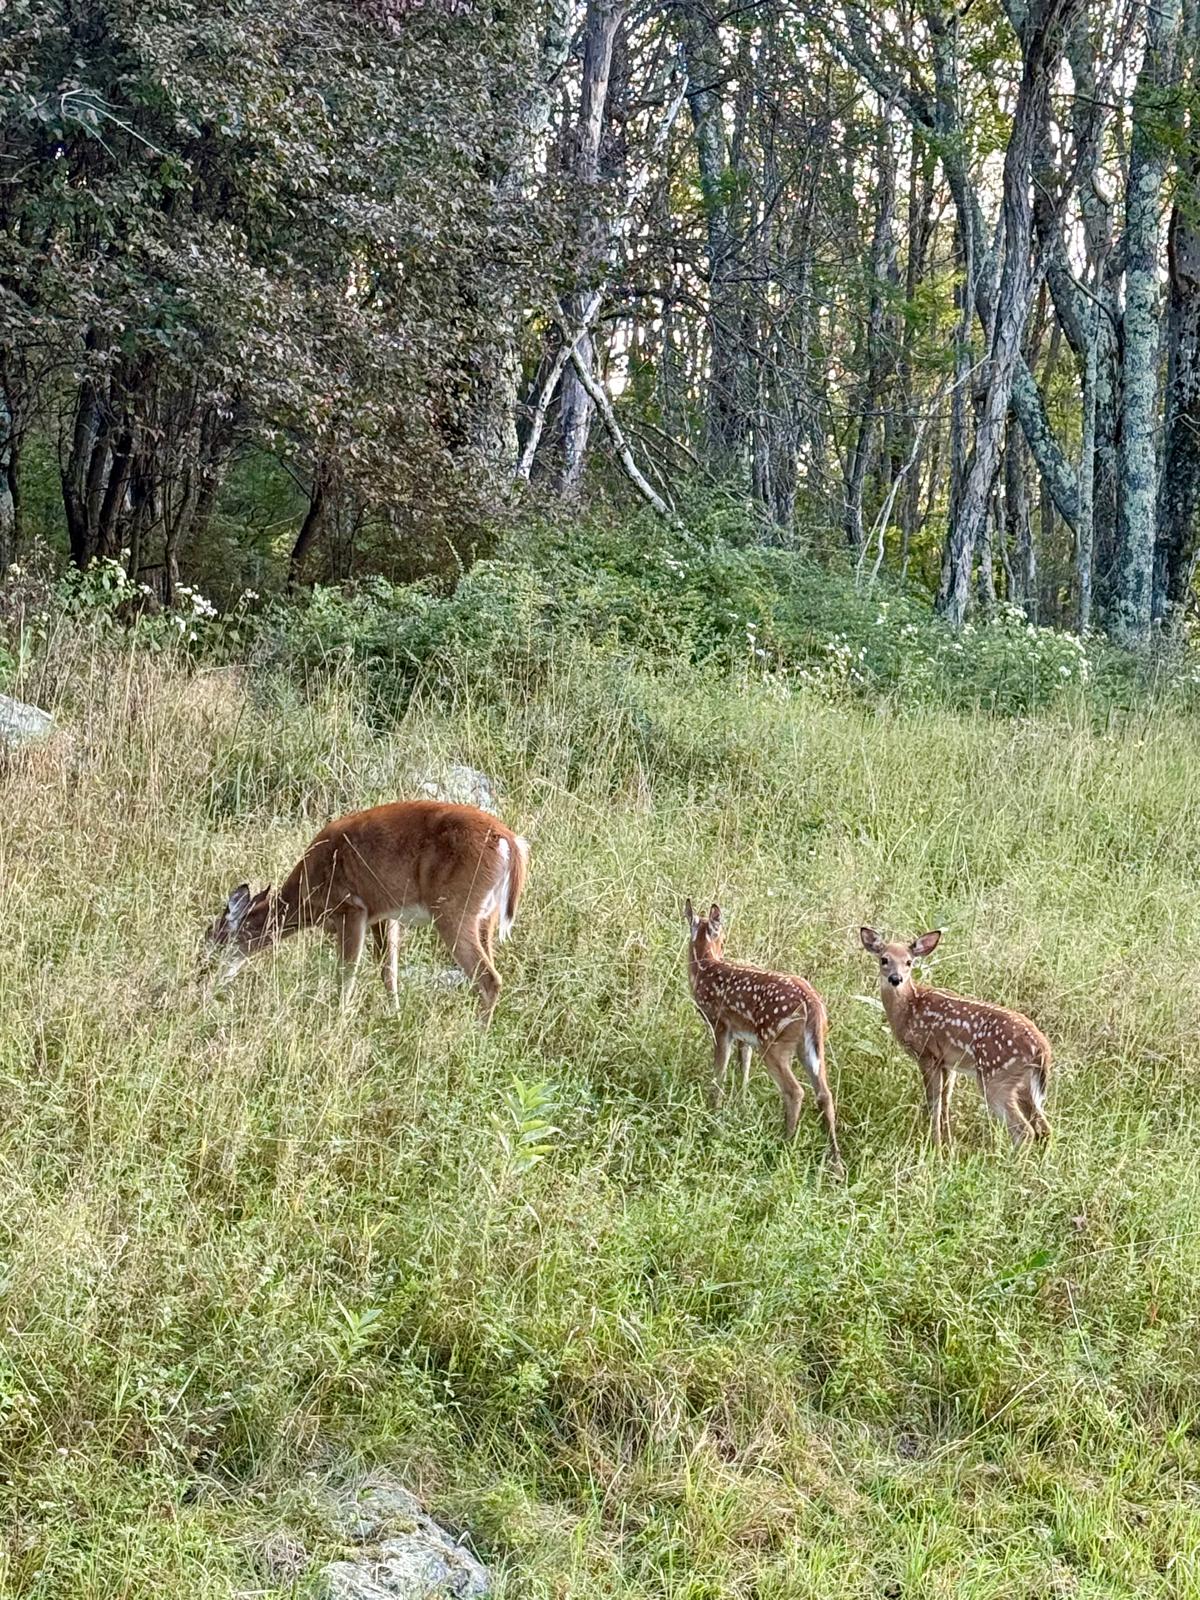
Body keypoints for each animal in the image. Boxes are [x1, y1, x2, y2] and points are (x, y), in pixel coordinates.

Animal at [206, 801, 529, 1023]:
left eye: (212, 939)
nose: (202, 979)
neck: (306, 896)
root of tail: (509, 841)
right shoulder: (385, 914)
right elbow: (389, 970)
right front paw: (394, 1015)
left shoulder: (351, 907)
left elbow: (347, 970)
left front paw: (339, 1017)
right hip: (485, 916)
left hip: (453, 908)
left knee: (489, 978)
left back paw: (477, 1035)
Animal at [684, 900, 842, 1170]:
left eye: (723, 938)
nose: (724, 946)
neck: (705, 966)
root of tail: (812, 1003)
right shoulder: (744, 1037)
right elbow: (744, 1071)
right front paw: (740, 1107)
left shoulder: (720, 1025)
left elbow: (719, 1073)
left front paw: (713, 1111)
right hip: (809, 1046)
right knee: (825, 1094)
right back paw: (836, 1163)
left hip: (774, 1043)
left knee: (795, 1091)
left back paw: (784, 1145)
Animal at [858, 927, 1051, 1148]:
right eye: (884, 959)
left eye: (909, 962)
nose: (895, 979)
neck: (909, 1009)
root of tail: (1042, 1047)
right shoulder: (948, 1062)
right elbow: (946, 1100)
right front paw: (948, 1145)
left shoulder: (927, 1054)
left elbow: (933, 1101)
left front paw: (934, 1145)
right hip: (1023, 1082)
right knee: (1044, 1127)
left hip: (996, 1076)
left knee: (1025, 1131)